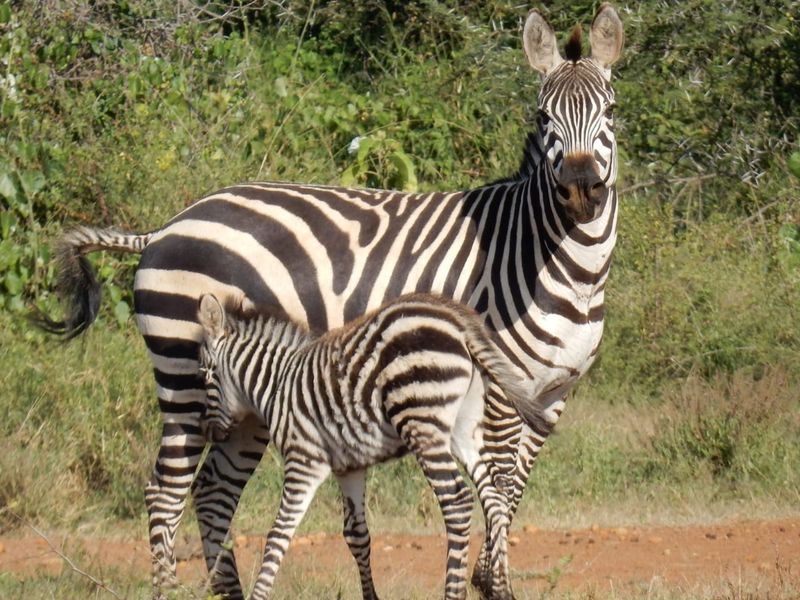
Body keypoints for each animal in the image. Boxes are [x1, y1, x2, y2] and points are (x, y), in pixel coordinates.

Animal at [196, 292, 534, 599]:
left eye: (206, 374)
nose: (209, 432)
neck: (277, 383)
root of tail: (458, 321)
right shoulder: (349, 467)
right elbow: (356, 535)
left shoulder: (303, 459)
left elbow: (279, 533)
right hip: (463, 429)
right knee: (493, 495)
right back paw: (501, 590)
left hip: (422, 422)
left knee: (457, 501)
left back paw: (455, 592)